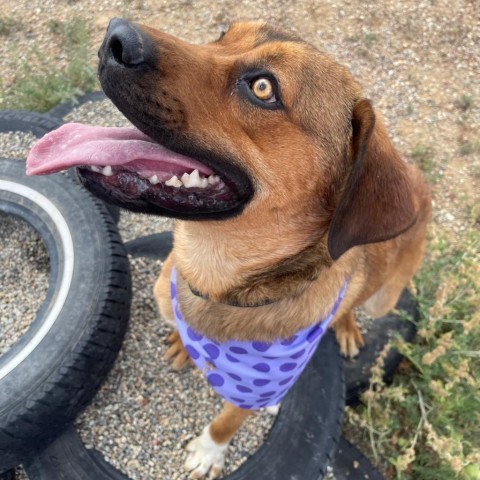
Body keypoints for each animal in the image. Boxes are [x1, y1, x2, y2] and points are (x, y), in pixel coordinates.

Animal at [25, 18, 432, 480]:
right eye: (223, 34)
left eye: (263, 88)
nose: (115, 35)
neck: (214, 281)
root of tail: (417, 182)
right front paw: (180, 343)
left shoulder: (255, 392)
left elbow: (227, 422)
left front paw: (209, 450)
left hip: (387, 296)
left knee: (358, 300)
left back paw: (346, 326)